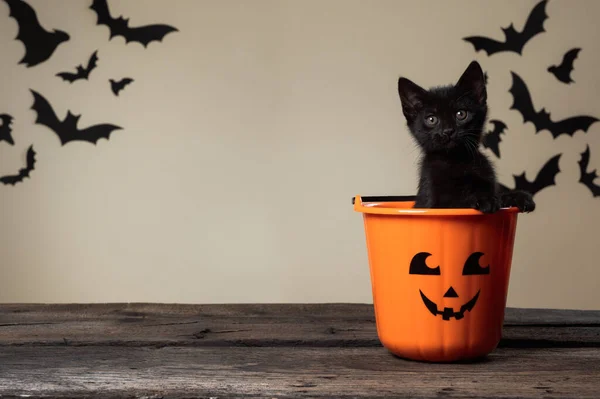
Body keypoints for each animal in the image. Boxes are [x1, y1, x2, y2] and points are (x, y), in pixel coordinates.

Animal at [398, 60, 536, 214]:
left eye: (461, 114)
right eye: (431, 119)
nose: (448, 131)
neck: (457, 160)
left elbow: (497, 195)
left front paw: (517, 196)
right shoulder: (433, 203)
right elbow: (457, 202)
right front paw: (483, 199)